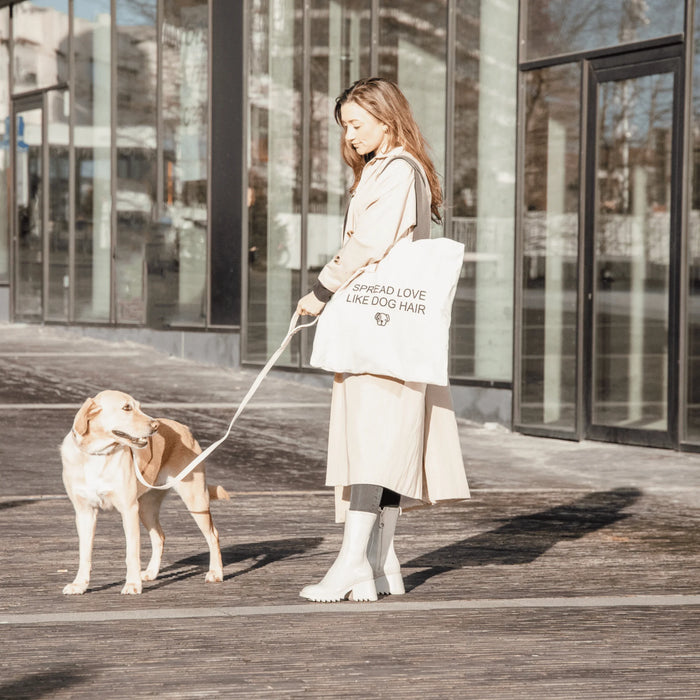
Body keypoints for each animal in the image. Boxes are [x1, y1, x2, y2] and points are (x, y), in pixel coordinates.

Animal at [61, 392, 228, 592]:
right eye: (127, 408)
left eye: (139, 407)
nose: (155, 426)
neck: (98, 455)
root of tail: (184, 427)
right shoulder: (85, 512)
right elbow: (84, 554)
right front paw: (80, 584)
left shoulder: (128, 509)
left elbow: (132, 553)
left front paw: (132, 584)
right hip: (146, 508)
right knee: (159, 537)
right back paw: (151, 572)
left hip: (195, 501)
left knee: (213, 535)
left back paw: (216, 573)